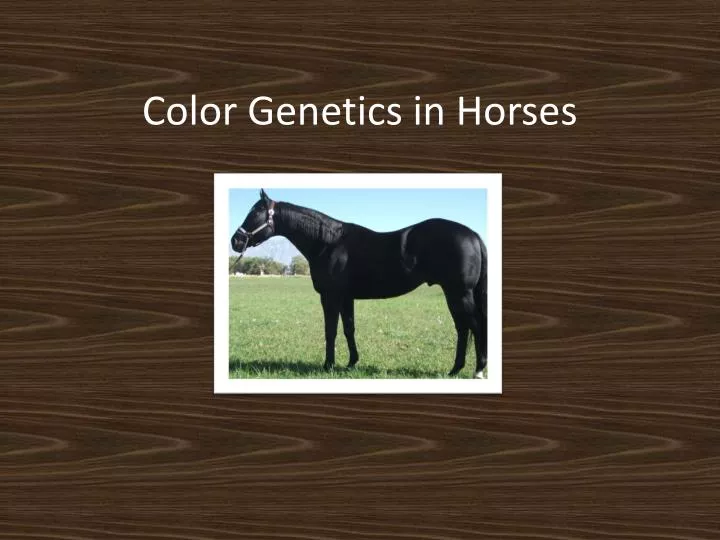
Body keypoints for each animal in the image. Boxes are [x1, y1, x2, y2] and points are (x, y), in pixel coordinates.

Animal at [231, 189, 488, 378]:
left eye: (255, 213)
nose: (236, 240)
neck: (329, 242)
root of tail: (473, 234)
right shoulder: (346, 297)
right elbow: (349, 329)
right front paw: (351, 363)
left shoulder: (330, 296)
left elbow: (331, 330)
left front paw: (328, 365)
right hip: (454, 293)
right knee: (463, 328)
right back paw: (455, 370)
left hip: (459, 293)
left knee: (474, 325)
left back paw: (477, 370)